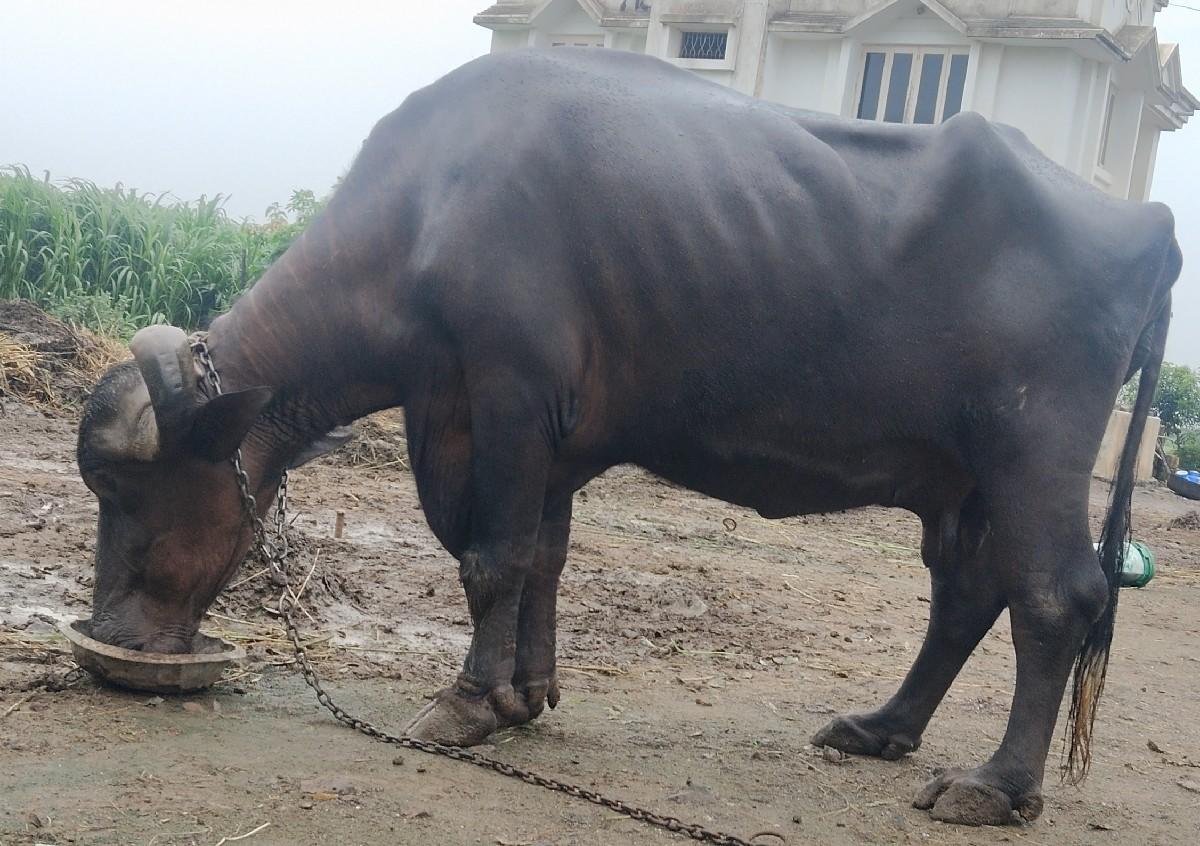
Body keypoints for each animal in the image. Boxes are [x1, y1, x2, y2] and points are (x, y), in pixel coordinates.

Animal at [75, 48, 1180, 826]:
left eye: (126, 488)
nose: (111, 635)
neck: (429, 207)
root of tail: (1145, 223)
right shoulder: (541, 438)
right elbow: (542, 558)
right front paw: (525, 692)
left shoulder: (507, 394)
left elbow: (489, 558)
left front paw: (466, 704)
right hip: (960, 477)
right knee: (966, 596)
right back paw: (880, 728)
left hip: (1034, 450)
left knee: (1057, 596)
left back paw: (995, 783)